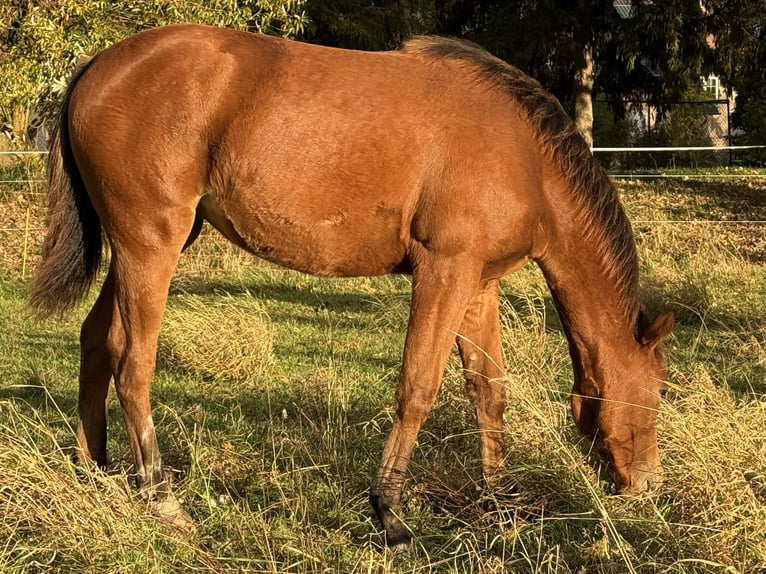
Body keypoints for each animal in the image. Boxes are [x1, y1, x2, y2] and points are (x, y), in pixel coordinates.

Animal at [30, 24, 674, 550]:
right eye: (661, 389)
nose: (648, 483)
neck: (523, 156)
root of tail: (98, 66)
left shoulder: (478, 284)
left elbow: (488, 391)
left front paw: (500, 503)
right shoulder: (444, 272)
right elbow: (418, 387)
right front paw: (389, 515)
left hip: (142, 249)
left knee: (98, 341)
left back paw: (94, 468)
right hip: (150, 245)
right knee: (133, 363)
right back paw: (163, 500)